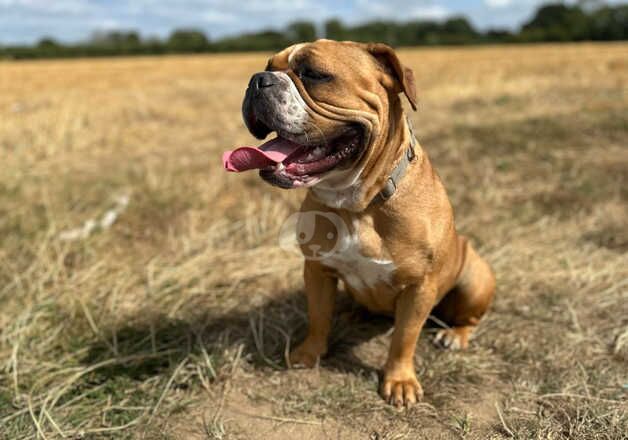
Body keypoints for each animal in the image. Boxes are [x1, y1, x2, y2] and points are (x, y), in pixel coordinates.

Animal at [222, 39, 496, 408]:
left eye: (315, 74)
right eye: (269, 66)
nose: (257, 80)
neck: (357, 204)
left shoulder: (420, 287)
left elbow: (404, 337)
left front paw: (399, 381)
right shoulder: (317, 270)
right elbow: (318, 317)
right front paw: (308, 354)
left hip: (474, 277)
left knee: (469, 317)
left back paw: (454, 335)